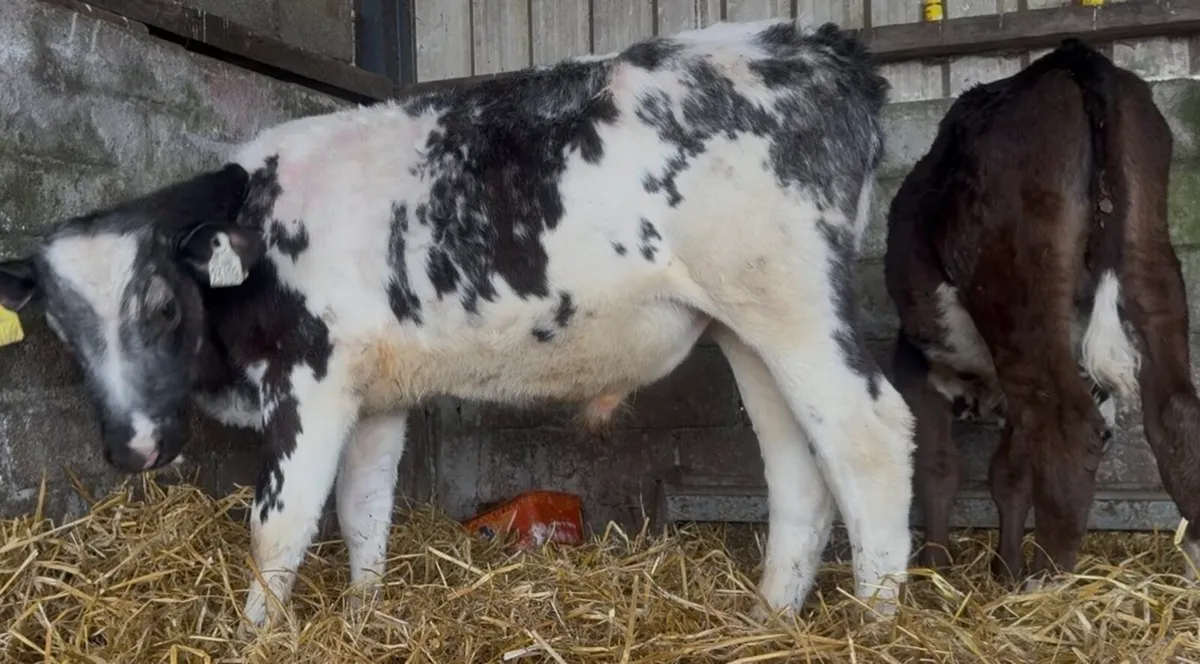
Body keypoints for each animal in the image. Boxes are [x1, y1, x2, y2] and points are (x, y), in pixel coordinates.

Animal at [0, 18, 915, 628]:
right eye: (64, 330)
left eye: (160, 304)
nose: (132, 449)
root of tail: (811, 43)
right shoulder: (374, 393)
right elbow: (363, 510)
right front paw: (363, 617)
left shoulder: (313, 381)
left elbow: (278, 527)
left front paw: (254, 635)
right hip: (745, 326)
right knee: (799, 464)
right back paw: (770, 618)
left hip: (794, 301)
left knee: (868, 433)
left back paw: (874, 623)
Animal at [884, 38, 1200, 589]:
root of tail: (1070, 58)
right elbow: (1009, 473)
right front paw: (1003, 569)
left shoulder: (919, 367)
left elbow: (938, 467)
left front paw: (937, 571)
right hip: (1150, 259)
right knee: (1175, 414)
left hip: (1018, 294)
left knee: (1068, 429)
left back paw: (1046, 583)